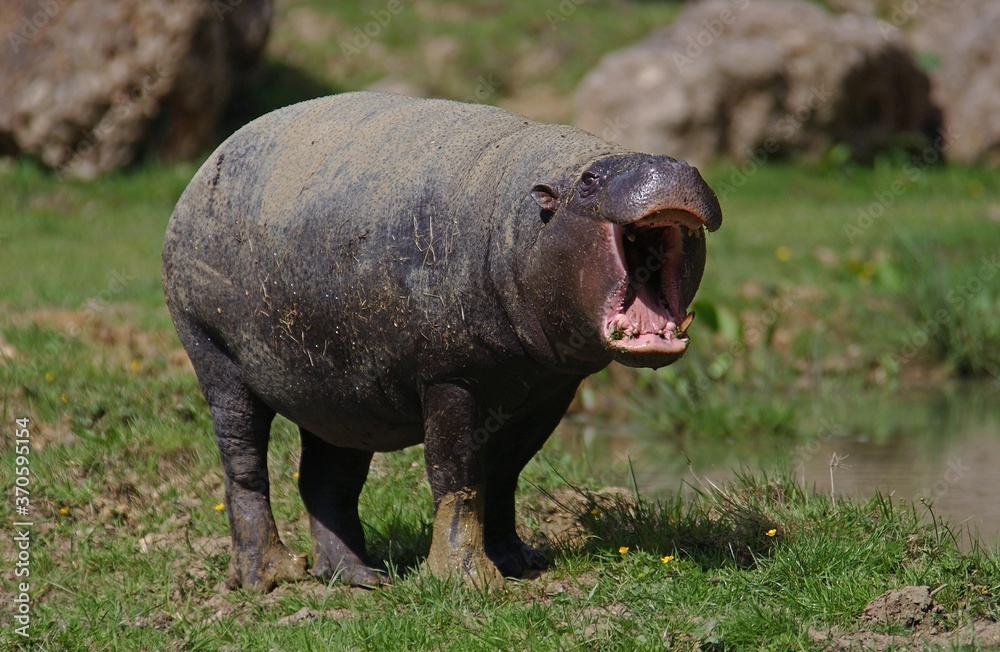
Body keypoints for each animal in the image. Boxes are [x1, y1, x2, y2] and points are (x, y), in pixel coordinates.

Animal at [162, 91, 722, 590]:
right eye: (588, 182)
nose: (674, 165)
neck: (523, 219)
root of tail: (202, 170)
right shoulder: (451, 378)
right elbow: (456, 476)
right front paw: (470, 582)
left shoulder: (548, 389)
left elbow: (503, 472)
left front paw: (520, 562)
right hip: (215, 357)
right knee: (243, 464)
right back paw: (268, 577)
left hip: (338, 395)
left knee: (326, 480)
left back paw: (360, 578)